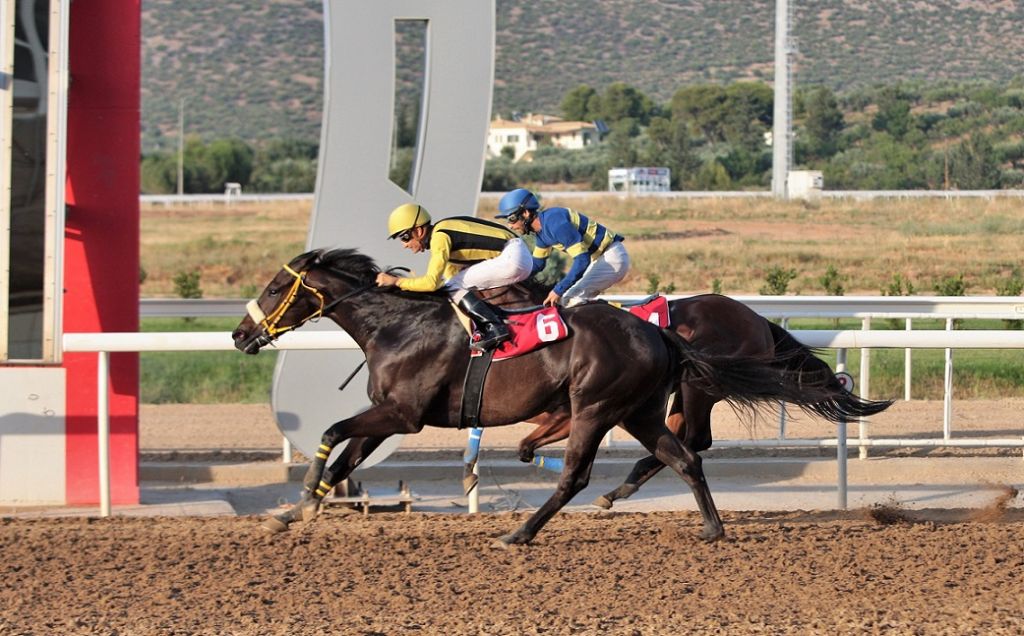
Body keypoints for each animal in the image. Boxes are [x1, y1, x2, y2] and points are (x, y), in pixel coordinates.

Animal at [232, 247, 856, 544]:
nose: (239, 335)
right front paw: (290, 513)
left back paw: (522, 532)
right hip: (637, 409)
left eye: (274, 287)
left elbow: (333, 432)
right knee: (683, 455)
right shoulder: (391, 415)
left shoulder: (402, 415)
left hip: (609, 405)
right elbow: (345, 457)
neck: (398, 325)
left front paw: (302, 500)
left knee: (588, 473)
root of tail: (658, 333)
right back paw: (709, 527)